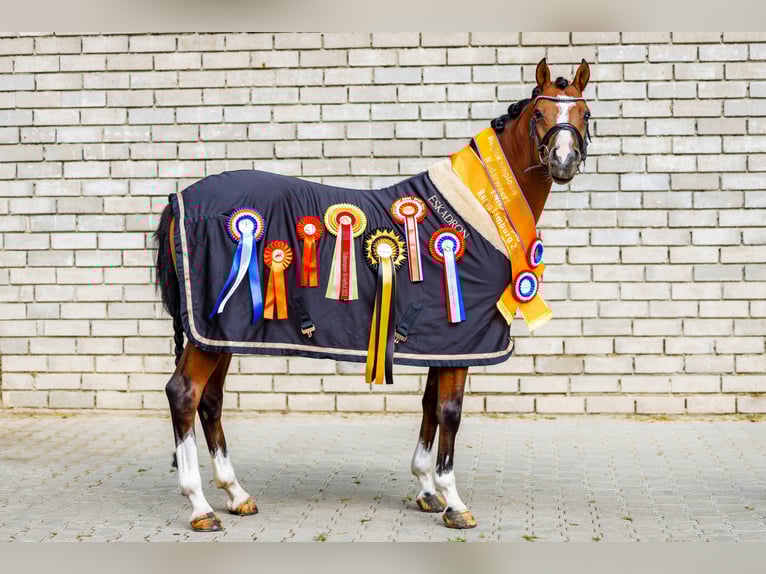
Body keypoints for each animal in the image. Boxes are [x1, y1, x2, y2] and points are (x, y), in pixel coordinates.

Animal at [153, 58, 592, 532]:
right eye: (539, 115)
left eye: (584, 113)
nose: (563, 160)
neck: (479, 208)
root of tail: (180, 200)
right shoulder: (462, 340)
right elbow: (450, 412)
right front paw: (454, 502)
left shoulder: (443, 343)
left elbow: (429, 406)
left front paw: (426, 491)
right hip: (211, 332)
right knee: (184, 393)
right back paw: (200, 507)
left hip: (219, 333)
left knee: (210, 400)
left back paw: (237, 495)